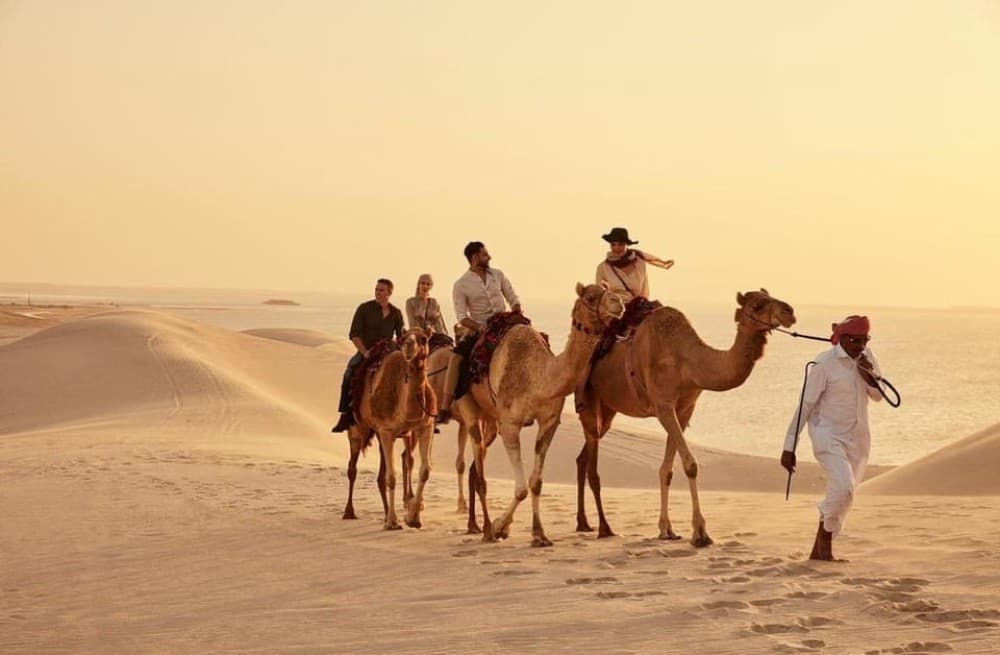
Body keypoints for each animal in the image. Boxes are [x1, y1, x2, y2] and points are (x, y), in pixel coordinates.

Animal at [342, 328, 437, 530]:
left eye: (424, 338)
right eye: (403, 338)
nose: (409, 346)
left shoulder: (425, 427)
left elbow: (425, 470)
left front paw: (413, 518)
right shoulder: (387, 431)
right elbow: (391, 477)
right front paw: (393, 521)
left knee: (382, 474)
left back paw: (385, 513)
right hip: (358, 428)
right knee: (353, 467)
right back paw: (349, 512)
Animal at [456, 283, 625, 547]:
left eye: (607, 289)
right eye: (590, 297)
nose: (618, 302)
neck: (539, 377)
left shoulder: (549, 421)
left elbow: (535, 483)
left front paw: (539, 534)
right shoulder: (510, 424)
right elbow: (521, 489)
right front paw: (500, 526)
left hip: (491, 418)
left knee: (476, 467)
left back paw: (476, 525)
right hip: (470, 408)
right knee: (479, 471)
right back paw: (485, 529)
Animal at [575, 289, 796, 546]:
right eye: (758, 305)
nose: (789, 311)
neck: (686, 361)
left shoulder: (685, 409)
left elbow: (667, 470)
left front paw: (667, 529)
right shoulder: (663, 406)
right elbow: (690, 465)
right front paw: (700, 532)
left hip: (609, 409)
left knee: (582, 458)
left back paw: (583, 523)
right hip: (590, 401)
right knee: (591, 460)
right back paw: (603, 528)